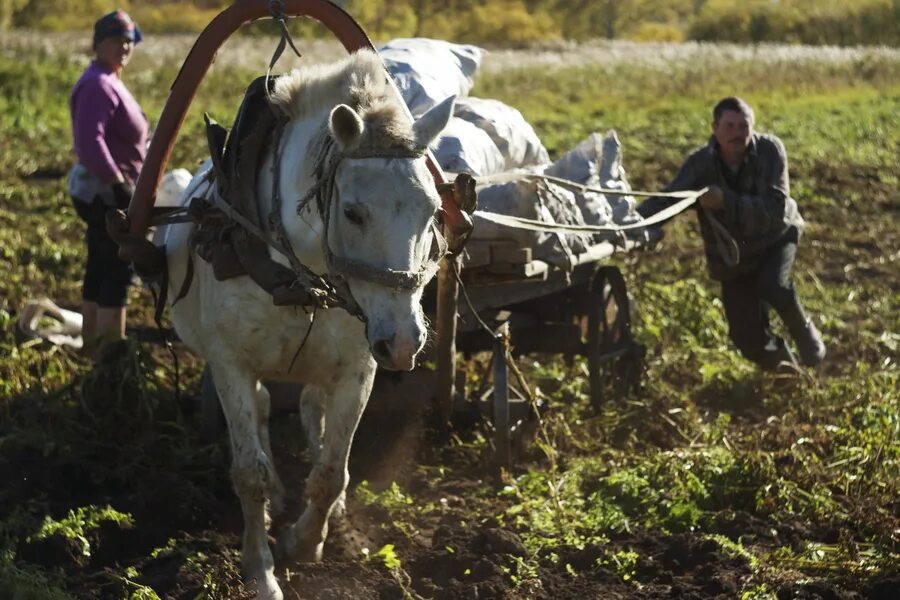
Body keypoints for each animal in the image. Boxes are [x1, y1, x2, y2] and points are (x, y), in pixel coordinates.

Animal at [155, 49, 454, 596]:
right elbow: (248, 472)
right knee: (264, 409)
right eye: (353, 212)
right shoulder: (230, 364)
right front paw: (260, 569)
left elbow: (334, 469)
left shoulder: (359, 368)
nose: (404, 341)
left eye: (434, 210)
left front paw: (307, 540)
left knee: (314, 411)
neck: (298, 275)